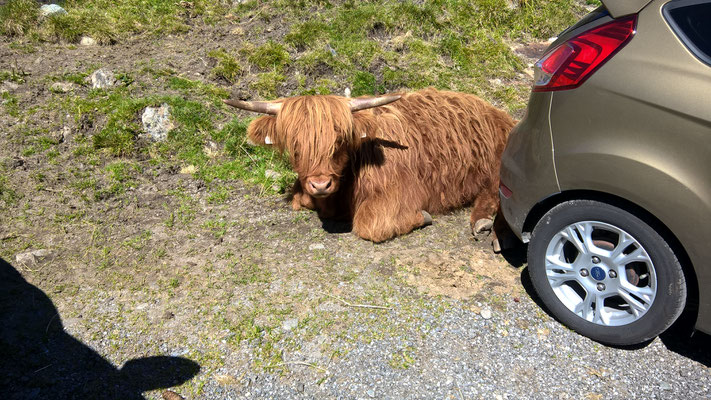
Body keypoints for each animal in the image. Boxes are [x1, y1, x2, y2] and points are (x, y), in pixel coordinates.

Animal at [225, 88, 516, 244]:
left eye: (340, 139)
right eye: (295, 145)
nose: (320, 184)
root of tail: (498, 113)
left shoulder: (397, 195)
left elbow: (369, 225)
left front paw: (422, 216)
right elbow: (300, 199)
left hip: (497, 164)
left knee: (497, 191)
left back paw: (483, 222)